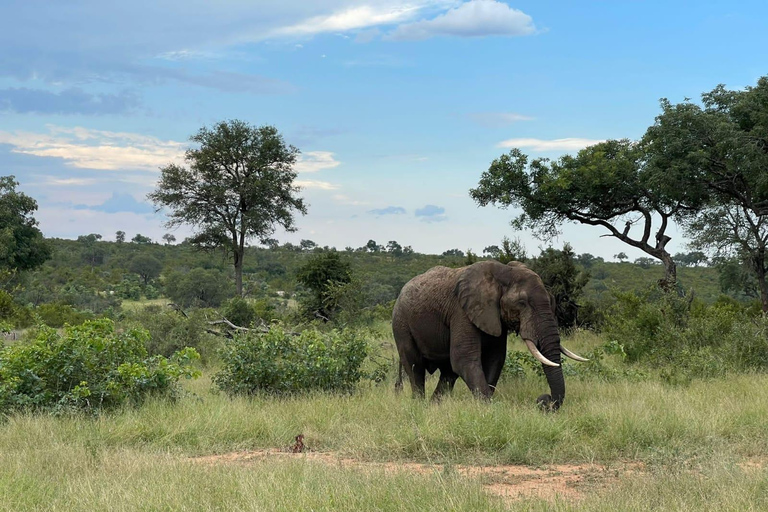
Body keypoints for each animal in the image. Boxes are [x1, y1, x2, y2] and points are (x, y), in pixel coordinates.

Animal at [392, 260, 584, 408]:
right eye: (522, 303)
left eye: (552, 302)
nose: (544, 400)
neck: (503, 273)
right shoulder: (462, 311)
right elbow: (464, 358)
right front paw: (490, 409)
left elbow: (495, 359)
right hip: (401, 323)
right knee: (415, 366)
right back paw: (419, 406)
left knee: (448, 372)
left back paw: (434, 406)